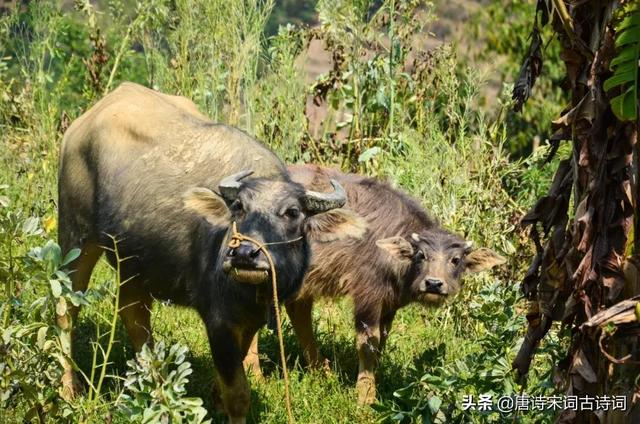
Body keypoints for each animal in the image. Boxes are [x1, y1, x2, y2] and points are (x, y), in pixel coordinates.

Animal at [56, 83, 364, 424]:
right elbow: (238, 394)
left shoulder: (251, 319)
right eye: (238, 208)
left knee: (134, 312)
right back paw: (69, 390)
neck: (250, 293)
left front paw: (216, 398)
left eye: (292, 212)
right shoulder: (217, 319)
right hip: (75, 235)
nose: (245, 255)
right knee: (67, 308)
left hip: (134, 263)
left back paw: (155, 387)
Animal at [245, 163, 504, 404]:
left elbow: (382, 343)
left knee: (298, 310)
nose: (433, 284)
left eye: (456, 260)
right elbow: (368, 345)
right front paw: (366, 397)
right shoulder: (367, 296)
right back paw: (256, 377)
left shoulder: (390, 305)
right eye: (421, 255)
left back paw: (321, 371)